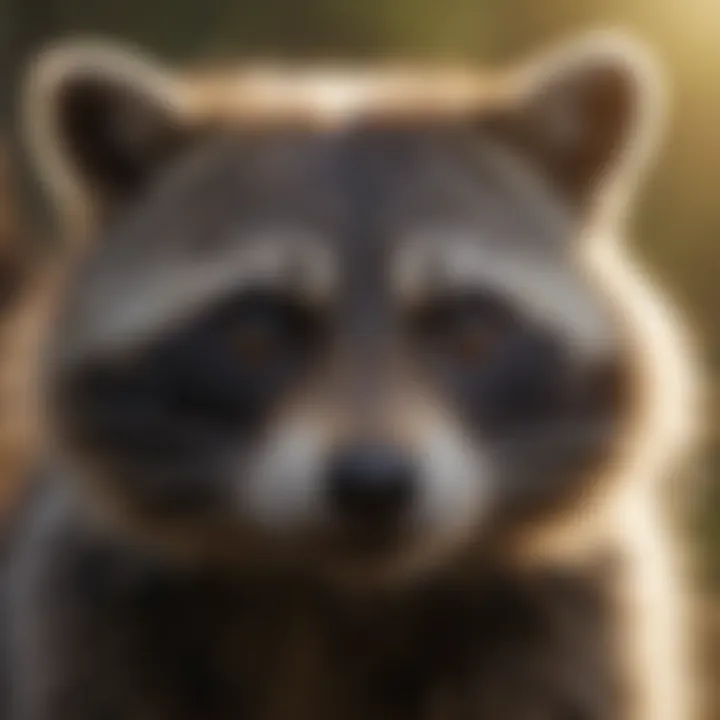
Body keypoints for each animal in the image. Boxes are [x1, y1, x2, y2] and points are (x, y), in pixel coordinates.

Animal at [0, 32, 700, 720]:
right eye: (257, 333)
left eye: (468, 329)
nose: (374, 482)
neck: (341, 594)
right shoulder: (84, 622)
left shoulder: (581, 633)